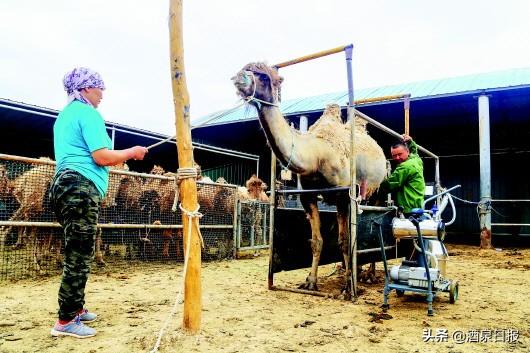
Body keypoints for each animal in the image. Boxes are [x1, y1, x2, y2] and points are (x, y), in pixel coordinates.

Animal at [231, 62, 384, 292]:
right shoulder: (308, 196)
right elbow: (317, 240)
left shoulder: (343, 195)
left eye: (264, 77)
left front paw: (348, 285)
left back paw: (369, 275)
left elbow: (344, 239)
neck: (316, 155)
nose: (238, 78)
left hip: (377, 191)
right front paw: (311, 281)